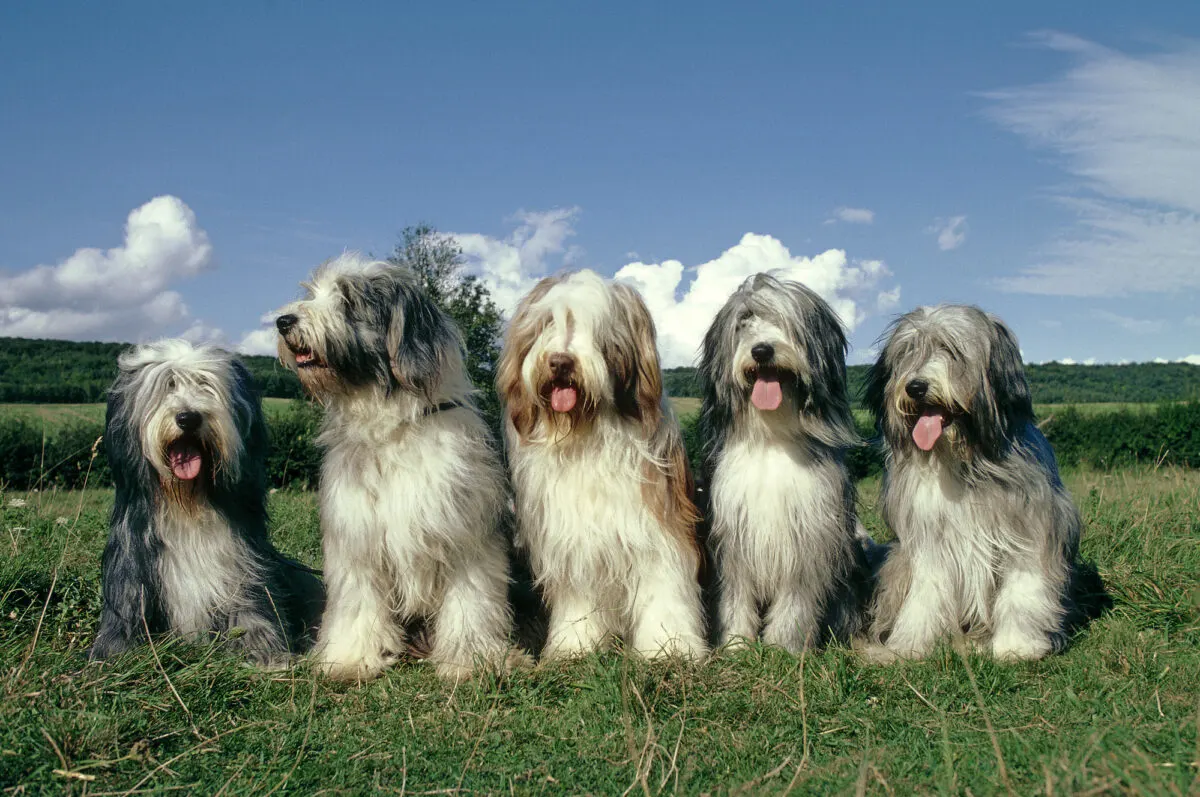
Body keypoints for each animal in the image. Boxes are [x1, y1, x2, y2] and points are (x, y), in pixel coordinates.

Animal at [90, 340, 324, 667]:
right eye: (167, 386)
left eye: (206, 385)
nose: (188, 418)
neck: (188, 503)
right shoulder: (131, 565)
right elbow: (126, 610)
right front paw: (114, 655)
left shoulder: (243, 563)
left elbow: (250, 608)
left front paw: (264, 653)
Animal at [276, 253, 520, 676]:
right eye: (312, 292)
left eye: (348, 300)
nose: (283, 321)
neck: (393, 429)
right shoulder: (358, 537)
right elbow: (357, 604)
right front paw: (349, 659)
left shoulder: (466, 534)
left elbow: (471, 602)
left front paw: (473, 660)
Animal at [494, 267, 705, 657]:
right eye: (547, 323)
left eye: (598, 329)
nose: (561, 362)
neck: (586, 433)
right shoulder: (573, 538)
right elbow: (579, 596)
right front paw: (575, 644)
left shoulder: (658, 528)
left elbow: (664, 587)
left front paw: (669, 646)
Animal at [696, 271, 873, 652]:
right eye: (744, 322)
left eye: (786, 321)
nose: (762, 350)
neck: (773, 437)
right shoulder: (732, 537)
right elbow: (735, 595)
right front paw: (735, 644)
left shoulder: (810, 534)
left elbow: (798, 599)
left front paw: (784, 647)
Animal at [864, 304, 1104, 657]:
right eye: (908, 351)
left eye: (951, 349)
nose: (915, 387)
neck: (966, 460)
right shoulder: (930, 539)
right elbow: (926, 593)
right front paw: (911, 646)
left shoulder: (1030, 530)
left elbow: (1022, 589)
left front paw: (1016, 647)